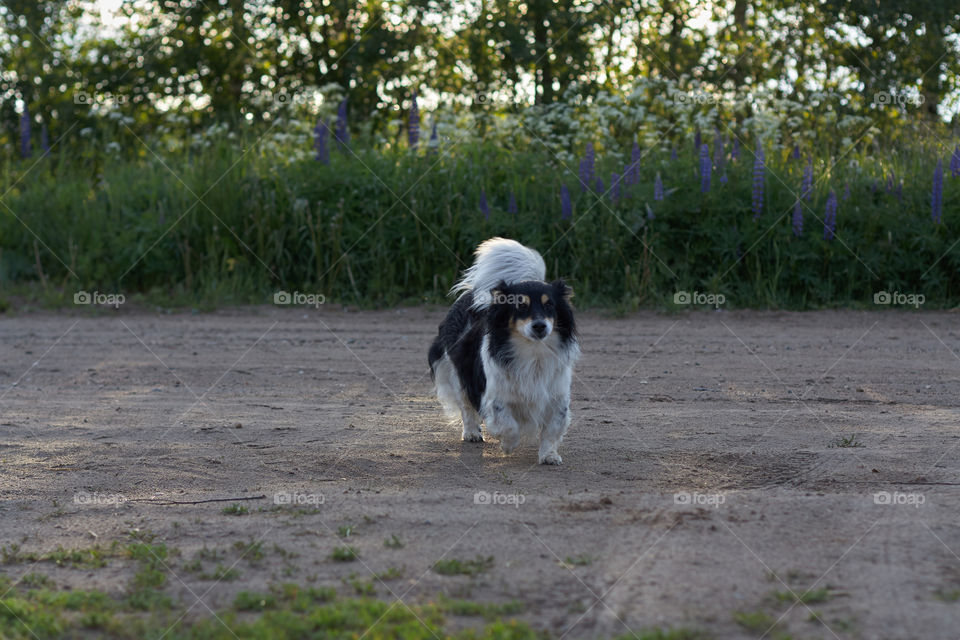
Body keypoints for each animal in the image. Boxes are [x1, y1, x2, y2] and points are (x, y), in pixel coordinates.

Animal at [432, 238, 580, 462]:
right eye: (520, 306)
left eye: (550, 305)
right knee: (465, 405)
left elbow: (553, 428)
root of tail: (472, 293)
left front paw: (549, 455)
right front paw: (508, 446)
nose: (539, 326)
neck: (533, 351)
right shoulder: (496, 396)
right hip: (457, 371)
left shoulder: (557, 396)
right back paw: (472, 433)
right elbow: (508, 424)